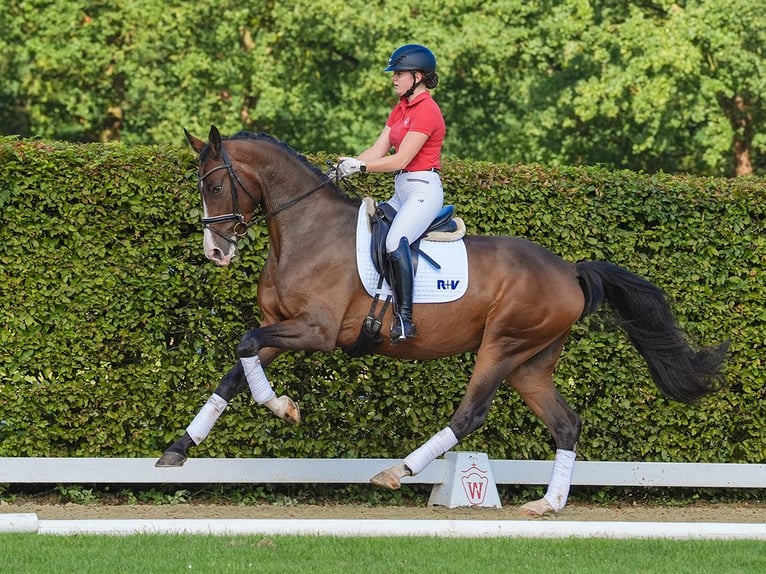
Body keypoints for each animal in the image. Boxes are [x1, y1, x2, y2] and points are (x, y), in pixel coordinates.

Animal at [153, 126, 728, 516]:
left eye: (216, 186)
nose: (215, 252)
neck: (304, 230)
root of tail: (569, 269)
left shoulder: (315, 331)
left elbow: (245, 344)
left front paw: (283, 408)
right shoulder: (284, 326)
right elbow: (237, 366)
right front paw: (177, 450)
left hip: (502, 346)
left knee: (471, 414)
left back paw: (399, 471)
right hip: (531, 363)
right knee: (566, 422)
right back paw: (548, 504)